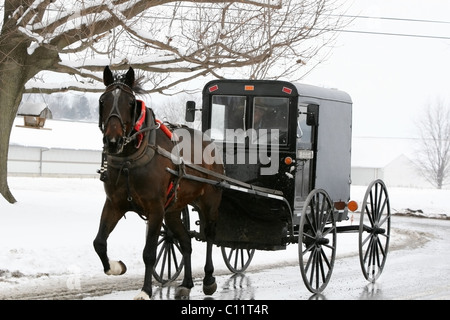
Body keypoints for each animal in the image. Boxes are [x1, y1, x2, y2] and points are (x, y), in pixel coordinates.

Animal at [92, 65, 223, 300]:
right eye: (103, 100)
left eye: (130, 102)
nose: (113, 141)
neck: (131, 158)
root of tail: (212, 144)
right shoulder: (114, 204)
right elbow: (99, 242)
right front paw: (117, 267)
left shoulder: (155, 208)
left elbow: (149, 253)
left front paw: (145, 290)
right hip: (173, 210)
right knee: (185, 242)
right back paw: (187, 284)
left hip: (209, 201)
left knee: (209, 235)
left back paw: (208, 279)